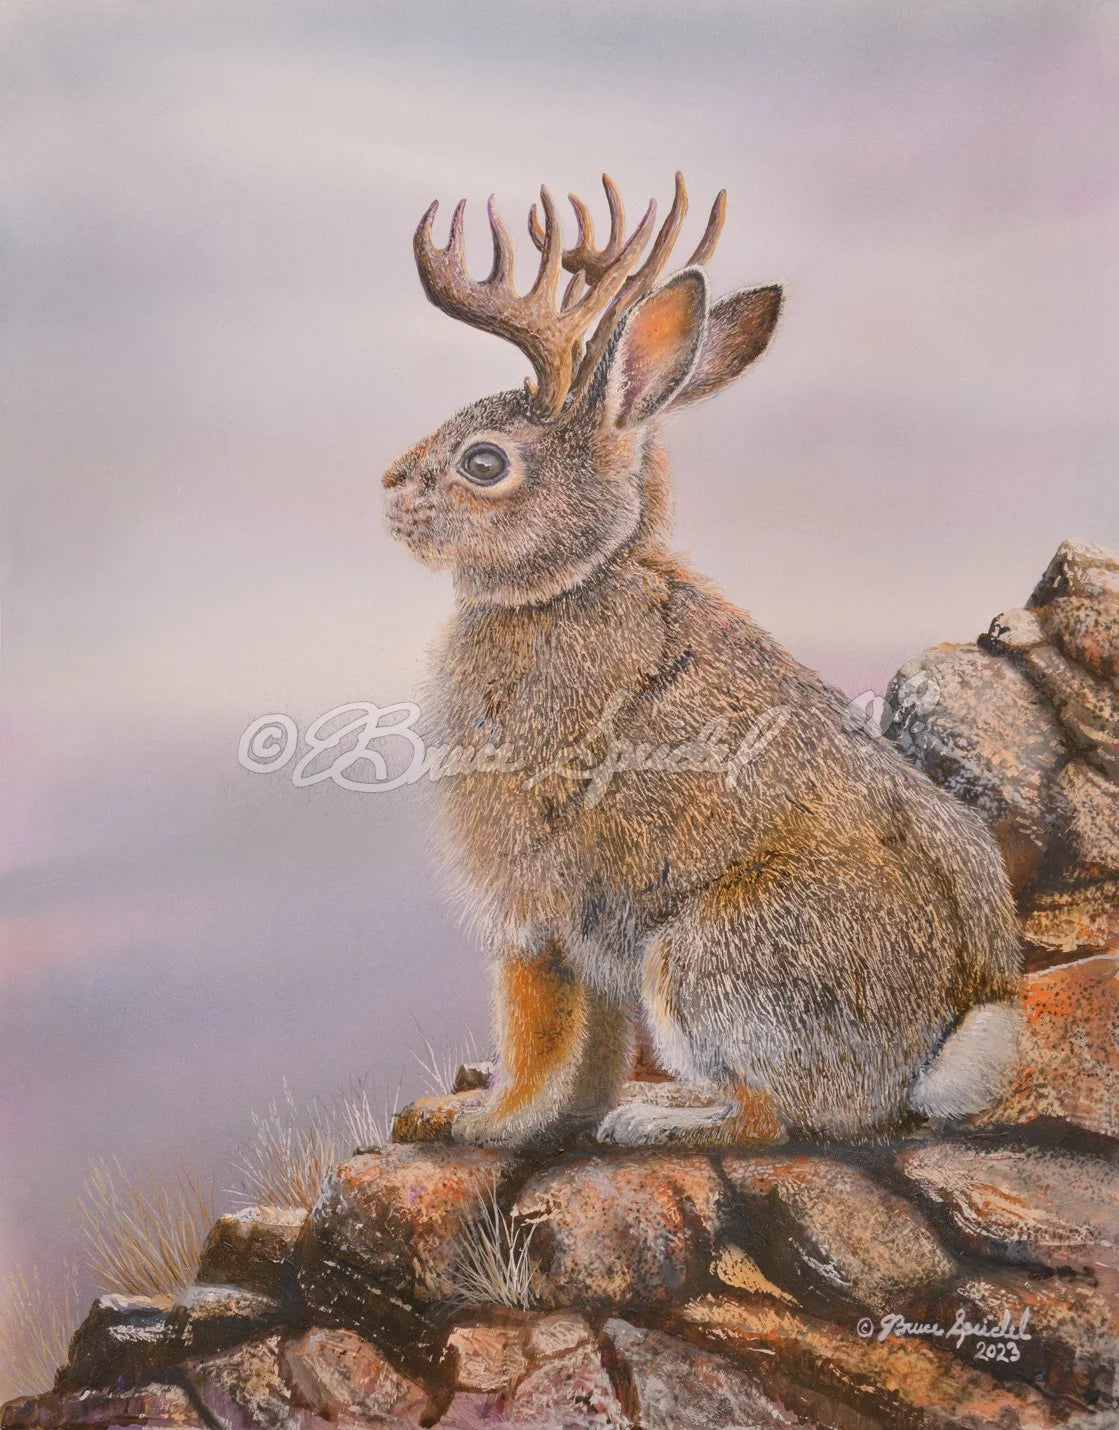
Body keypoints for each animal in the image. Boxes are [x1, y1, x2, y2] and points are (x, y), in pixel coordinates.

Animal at [382, 173, 1022, 1146]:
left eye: (483, 463)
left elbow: (536, 1020)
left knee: (770, 1118)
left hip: (702, 957)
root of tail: (942, 1046)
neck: (578, 578)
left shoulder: (528, 901)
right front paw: (543, 1116)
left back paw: (651, 1122)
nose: (386, 492)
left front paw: (490, 1125)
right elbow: (595, 1041)